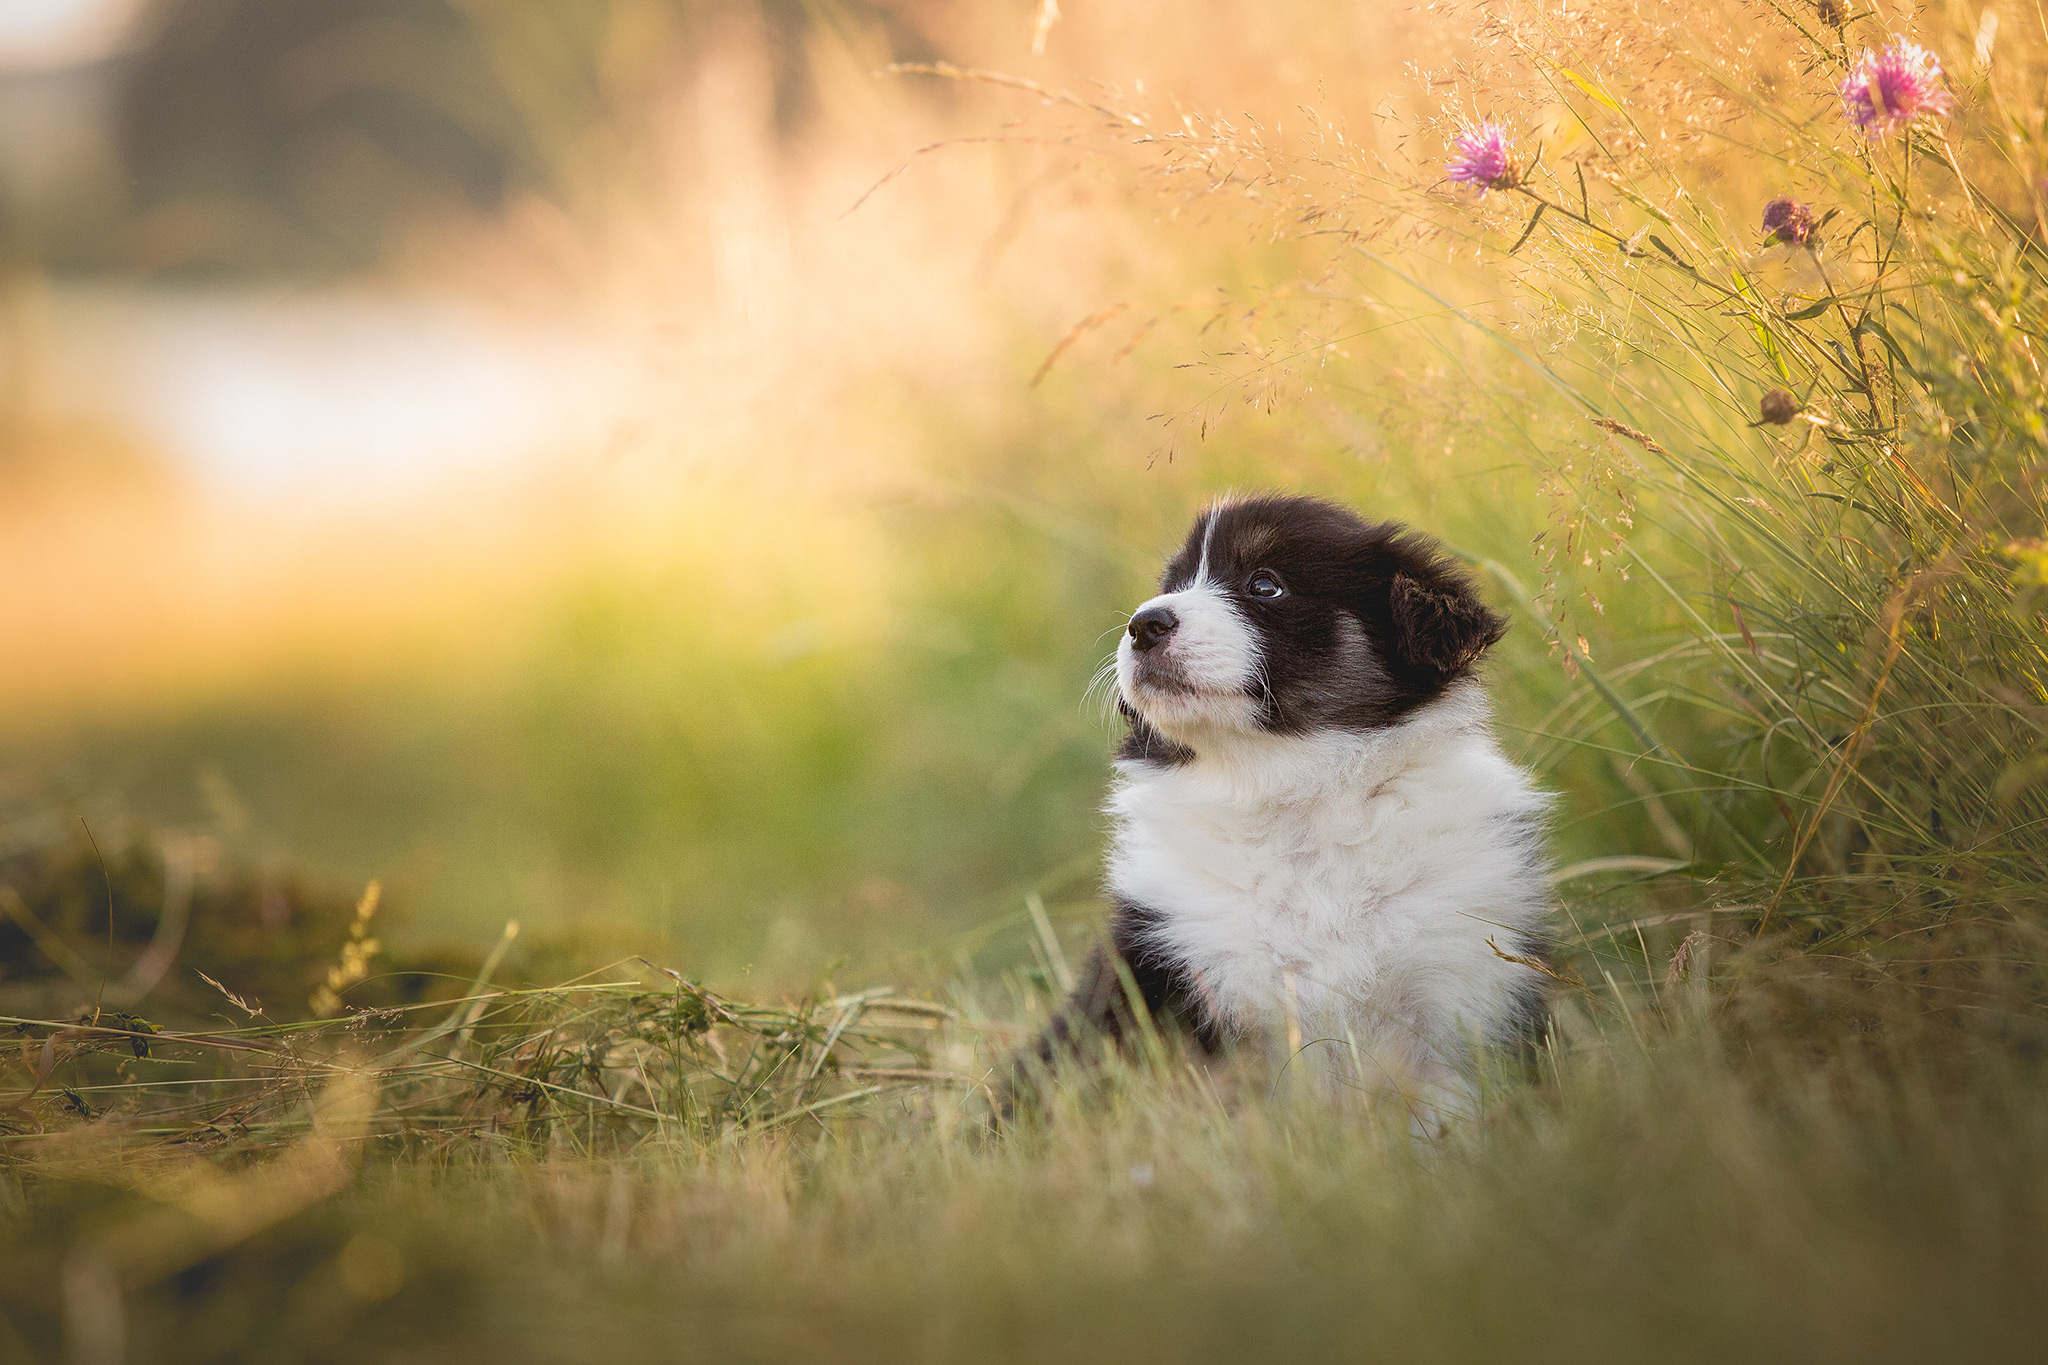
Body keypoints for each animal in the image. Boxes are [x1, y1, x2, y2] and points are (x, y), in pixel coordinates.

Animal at [1032, 497, 1556, 1129]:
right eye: (1172, 586)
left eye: (1265, 584)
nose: (1144, 624)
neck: (1290, 793)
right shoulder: (1166, 969)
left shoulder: (1463, 983)